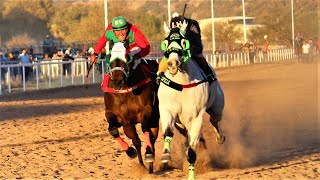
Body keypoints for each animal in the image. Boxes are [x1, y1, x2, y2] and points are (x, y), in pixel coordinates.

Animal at [101, 42, 159, 173]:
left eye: (127, 57)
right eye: (109, 56)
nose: (117, 82)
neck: (125, 91)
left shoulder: (147, 110)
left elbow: (145, 127)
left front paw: (149, 154)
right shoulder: (117, 117)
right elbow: (113, 129)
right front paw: (130, 151)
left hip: (155, 119)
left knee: (152, 137)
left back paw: (150, 161)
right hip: (129, 126)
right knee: (136, 141)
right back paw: (142, 165)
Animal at [158, 21, 225, 179]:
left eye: (183, 41)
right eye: (166, 42)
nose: (173, 63)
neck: (182, 84)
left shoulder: (196, 117)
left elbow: (192, 152)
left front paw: (191, 175)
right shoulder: (167, 110)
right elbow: (168, 132)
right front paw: (165, 155)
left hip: (217, 108)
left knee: (214, 120)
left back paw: (220, 138)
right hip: (181, 123)